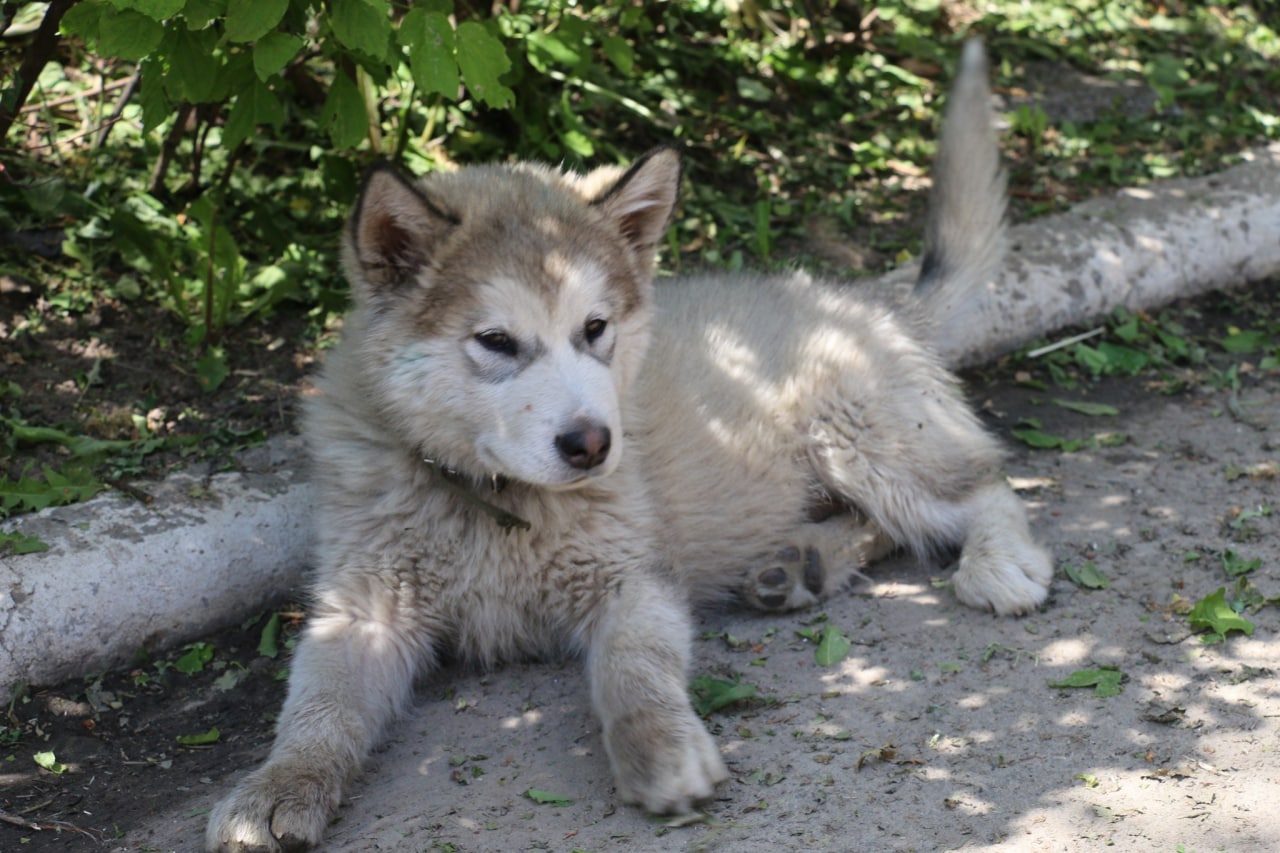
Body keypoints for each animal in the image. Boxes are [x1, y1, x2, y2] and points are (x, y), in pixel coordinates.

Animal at [207, 41, 1049, 850]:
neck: (496, 505)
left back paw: (998, 562)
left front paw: (660, 746)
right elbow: (318, 702)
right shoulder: (365, 606)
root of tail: (866, 299)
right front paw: (276, 786)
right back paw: (800, 563)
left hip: (860, 435)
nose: (592, 445)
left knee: (980, 484)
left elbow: (631, 669)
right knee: (892, 521)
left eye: (596, 328)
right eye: (496, 341)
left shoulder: (634, 580)